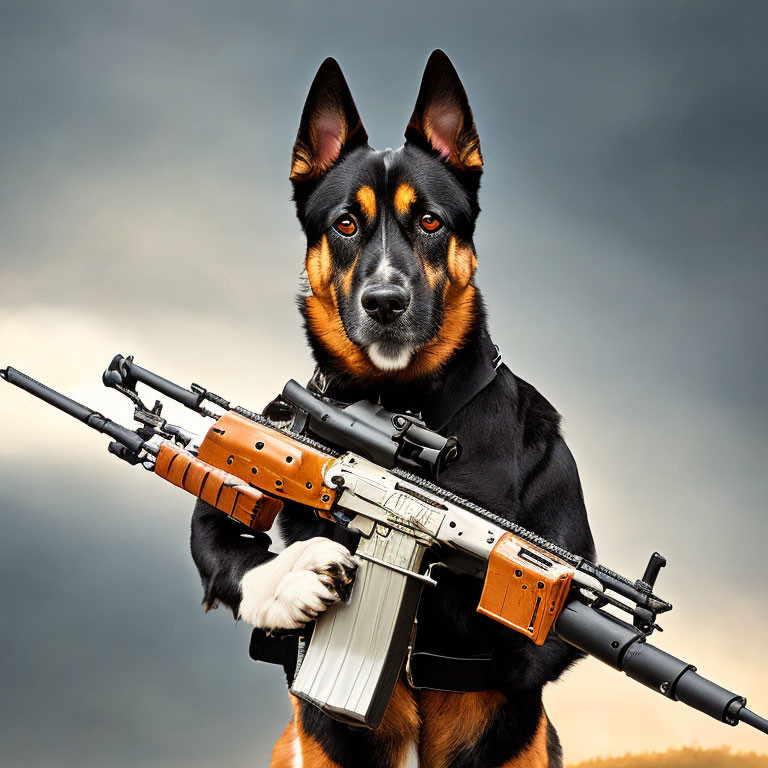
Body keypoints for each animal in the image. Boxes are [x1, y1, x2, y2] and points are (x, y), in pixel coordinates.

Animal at [190, 51, 592, 764]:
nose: (384, 301)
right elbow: (224, 540)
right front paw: (295, 577)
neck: (401, 398)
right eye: (344, 223)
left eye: (431, 221)